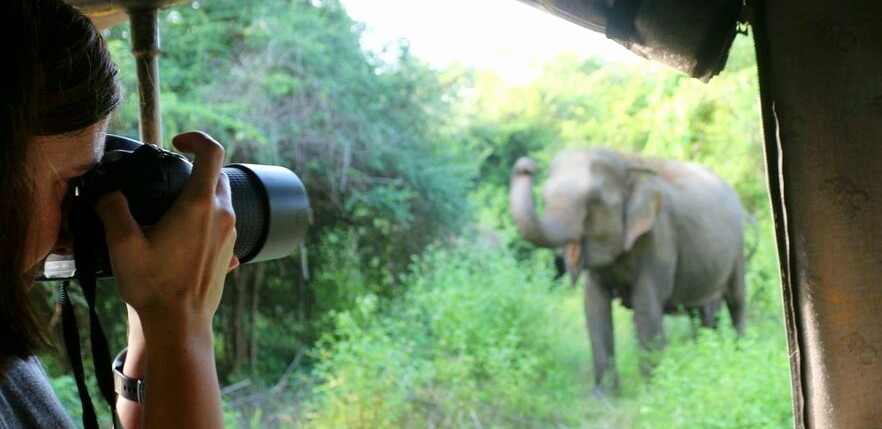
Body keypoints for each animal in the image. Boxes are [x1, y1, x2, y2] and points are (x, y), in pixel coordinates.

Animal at [508, 147, 744, 392]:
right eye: (544, 196)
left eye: (594, 199)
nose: (526, 166)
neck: (626, 162)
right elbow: (595, 306)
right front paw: (603, 394)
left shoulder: (659, 235)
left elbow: (646, 302)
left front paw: (653, 389)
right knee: (701, 311)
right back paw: (705, 356)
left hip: (738, 247)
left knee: (736, 299)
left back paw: (739, 351)